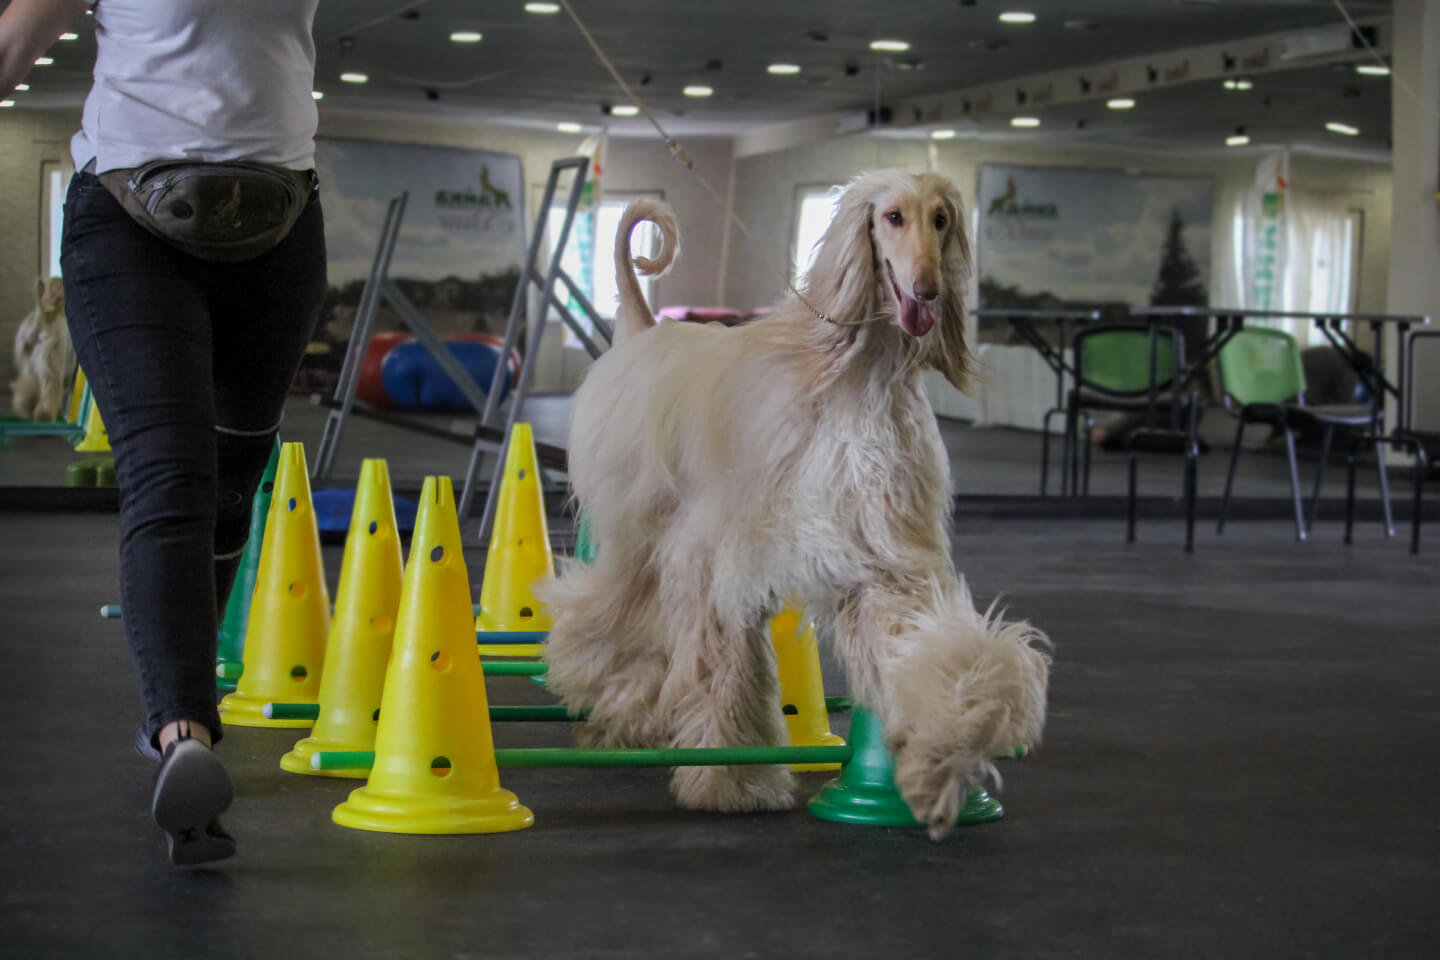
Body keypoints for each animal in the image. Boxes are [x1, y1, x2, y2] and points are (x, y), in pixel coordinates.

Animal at [540, 170, 1050, 837]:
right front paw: (732, 779)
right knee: (608, 605)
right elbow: (723, 663)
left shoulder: (880, 547)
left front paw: (950, 743)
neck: (856, 375)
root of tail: (645, 328)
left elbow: (920, 638)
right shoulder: (721, 550)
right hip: (639, 524)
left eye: (941, 220)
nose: (928, 290)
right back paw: (605, 691)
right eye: (892, 217)